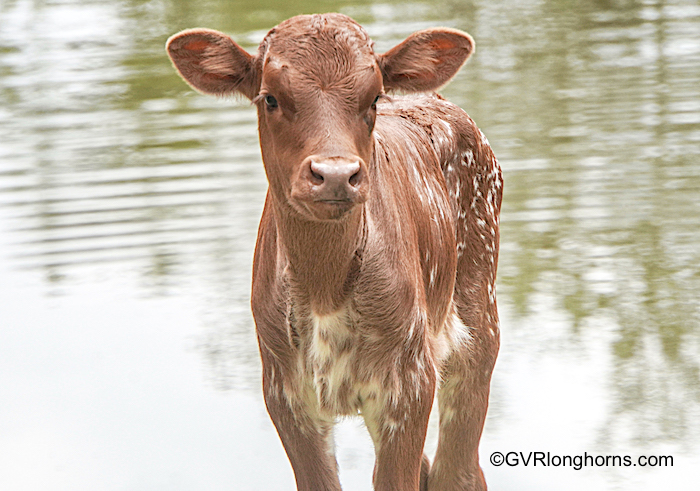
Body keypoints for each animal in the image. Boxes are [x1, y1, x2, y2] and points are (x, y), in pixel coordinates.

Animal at [167, 12, 500, 491]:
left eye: (374, 96)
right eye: (270, 98)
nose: (336, 174)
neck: (324, 290)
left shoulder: (410, 381)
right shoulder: (284, 389)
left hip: (479, 319)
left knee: (458, 469)